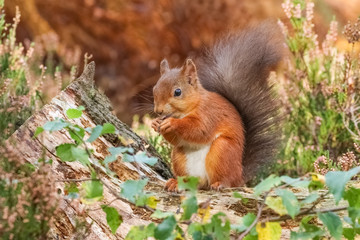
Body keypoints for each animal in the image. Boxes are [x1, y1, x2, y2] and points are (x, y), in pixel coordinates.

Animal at [150, 22, 282, 191]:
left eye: (177, 92)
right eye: (154, 89)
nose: (158, 111)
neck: (190, 108)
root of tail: (240, 175)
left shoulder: (209, 114)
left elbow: (199, 129)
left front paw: (172, 123)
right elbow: (177, 140)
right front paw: (155, 123)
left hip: (222, 151)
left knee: (226, 180)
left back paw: (220, 183)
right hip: (180, 158)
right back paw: (178, 182)